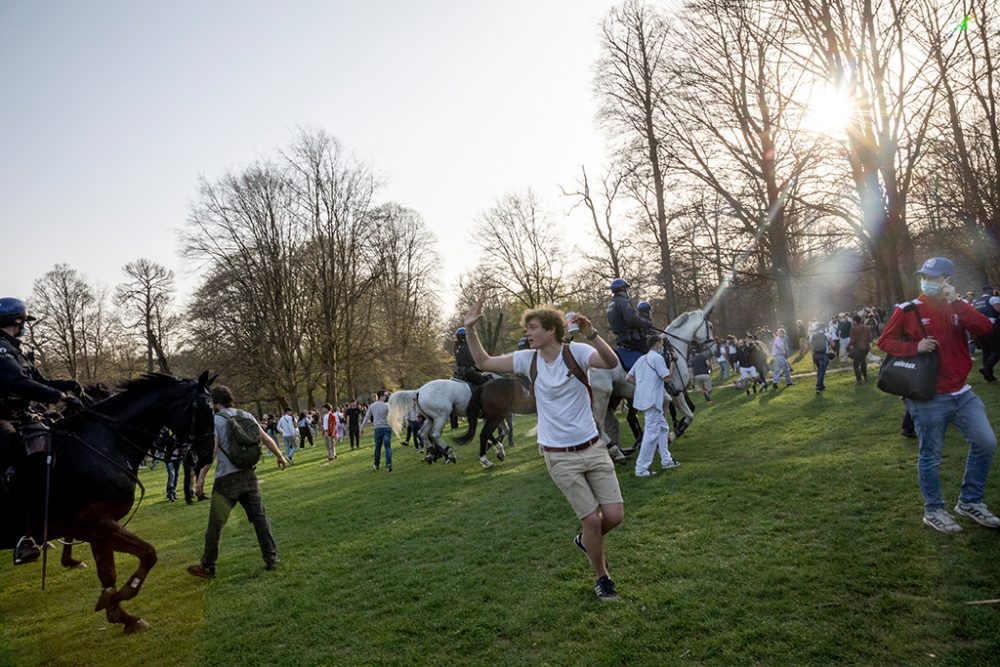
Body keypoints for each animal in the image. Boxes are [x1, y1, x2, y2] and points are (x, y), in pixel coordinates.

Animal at [0, 374, 215, 636]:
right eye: (205, 409)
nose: (206, 455)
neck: (104, 444)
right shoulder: (96, 523)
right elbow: (148, 554)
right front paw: (120, 596)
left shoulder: (97, 527)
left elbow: (108, 573)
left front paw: (120, 613)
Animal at [588, 306, 716, 454]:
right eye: (710, 326)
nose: (714, 349)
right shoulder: (676, 393)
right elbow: (689, 416)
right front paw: (672, 435)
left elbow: (687, 413)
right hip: (602, 397)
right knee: (598, 425)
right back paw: (616, 449)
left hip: (614, 398)